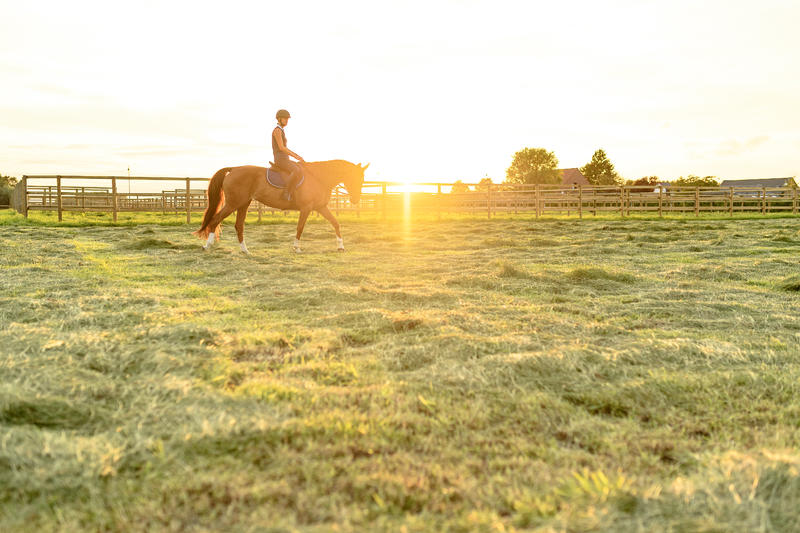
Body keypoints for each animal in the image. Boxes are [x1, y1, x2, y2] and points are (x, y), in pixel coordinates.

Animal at [194, 159, 368, 252]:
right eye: (355, 178)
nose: (355, 200)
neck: (318, 177)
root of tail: (234, 169)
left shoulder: (321, 207)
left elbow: (336, 223)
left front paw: (341, 247)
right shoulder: (306, 208)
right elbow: (300, 227)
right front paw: (296, 248)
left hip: (243, 204)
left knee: (239, 225)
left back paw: (245, 250)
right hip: (233, 204)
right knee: (216, 220)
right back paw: (207, 245)